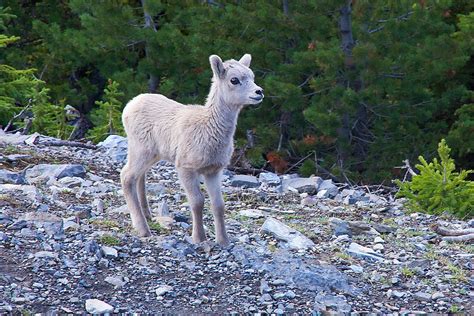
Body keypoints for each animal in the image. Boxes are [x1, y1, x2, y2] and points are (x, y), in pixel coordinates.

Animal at [121, 53, 262, 247]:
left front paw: (223, 241)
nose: (259, 92)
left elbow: (218, 205)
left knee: (139, 177)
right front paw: (199, 238)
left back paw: (148, 216)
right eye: (234, 80)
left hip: (152, 155)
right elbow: (197, 202)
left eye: (252, 77)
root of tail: (130, 105)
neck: (208, 128)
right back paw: (143, 230)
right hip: (141, 150)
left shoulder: (213, 171)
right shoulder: (186, 168)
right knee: (127, 176)